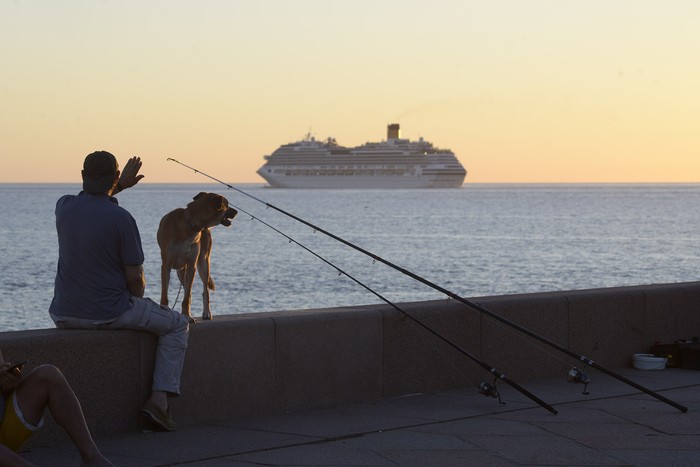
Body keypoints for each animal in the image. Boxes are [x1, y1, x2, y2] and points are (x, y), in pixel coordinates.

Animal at [157, 193, 237, 322]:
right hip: (180, 271)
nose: (237, 212)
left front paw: (187, 316)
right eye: (227, 204)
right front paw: (165, 310)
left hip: (203, 263)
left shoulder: (191, 265)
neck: (189, 224)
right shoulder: (166, 265)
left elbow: (187, 297)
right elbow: (165, 294)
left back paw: (206, 313)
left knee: (203, 290)